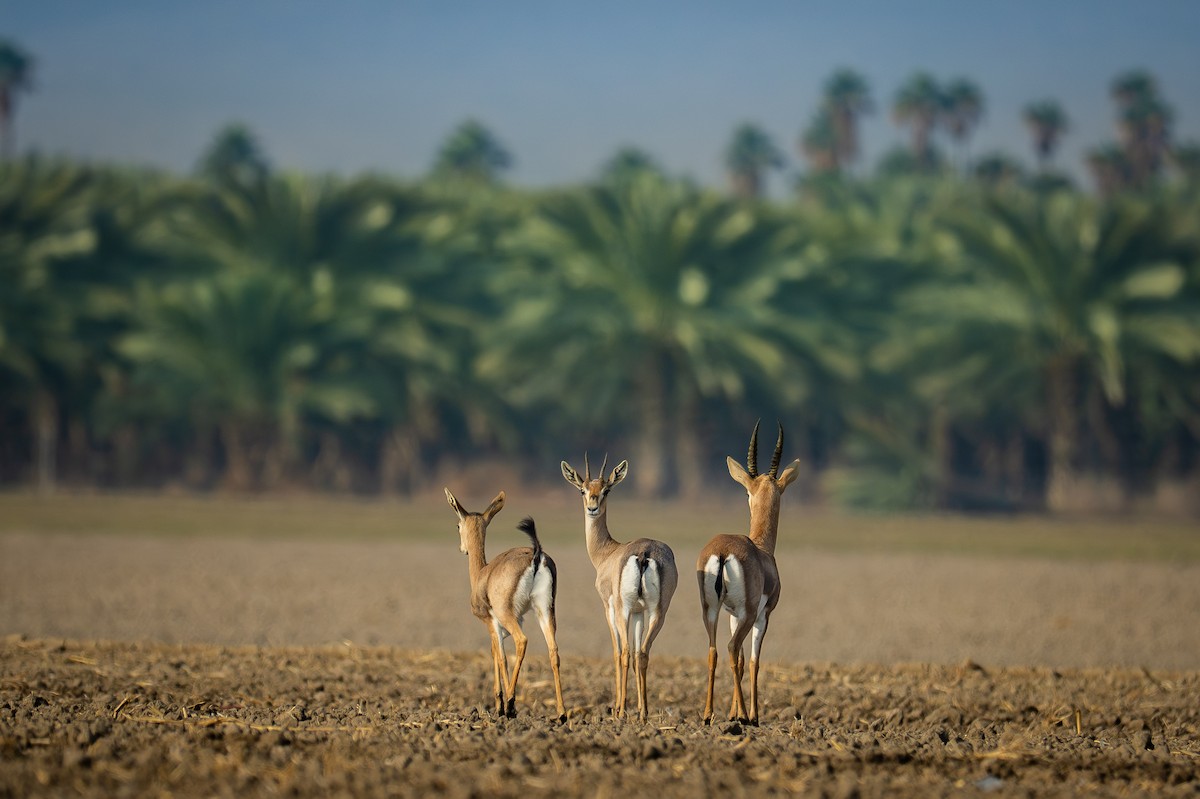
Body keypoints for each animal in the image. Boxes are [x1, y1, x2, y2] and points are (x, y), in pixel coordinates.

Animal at [444, 488, 565, 720]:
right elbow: (496, 653)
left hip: (509, 616)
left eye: (457, 525)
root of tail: (536, 555)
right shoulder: (506, 625)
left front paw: (504, 706)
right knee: (553, 651)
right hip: (545, 611)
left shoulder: (492, 622)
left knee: (522, 641)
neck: (482, 574)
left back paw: (510, 703)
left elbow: (500, 656)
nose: (463, 549)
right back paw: (562, 713)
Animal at [560, 455, 678, 722]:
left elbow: (616, 653)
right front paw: (640, 707)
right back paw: (643, 712)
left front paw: (617, 706)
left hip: (623, 610)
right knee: (642, 653)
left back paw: (622, 710)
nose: (592, 508)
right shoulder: (639, 612)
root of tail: (644, 553)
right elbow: (636, 653)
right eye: (583, 490)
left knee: (624, 652)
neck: (607, 553)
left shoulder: (609, 607)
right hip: (658, 612)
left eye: (606, 490)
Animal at [696, 422, 800, 725]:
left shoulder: (732, 614)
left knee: (714, 651)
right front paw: (750, 715)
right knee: (732, 648)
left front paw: (732, 712)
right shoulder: (762, 615)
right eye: (747, 493)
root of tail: (722, 552)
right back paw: (744, 717)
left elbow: (741, 663)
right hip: (749, 614)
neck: (761, 548)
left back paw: (708, 715)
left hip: (710, 609)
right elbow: (753, 661)